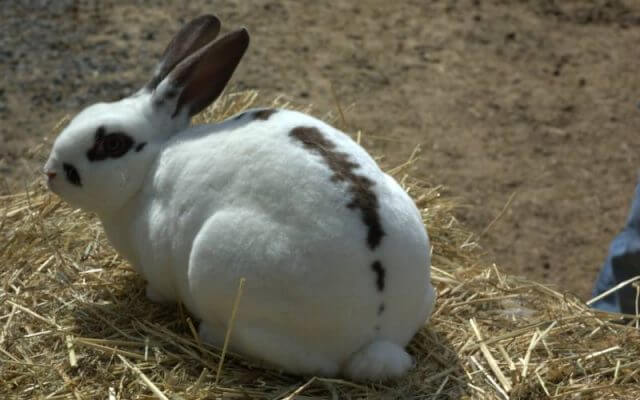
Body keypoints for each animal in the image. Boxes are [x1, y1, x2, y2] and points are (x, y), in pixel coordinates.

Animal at [43, 15, 435, 381]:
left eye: (112, 143)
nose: (50, 172)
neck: (150, 167)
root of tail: (379, 333)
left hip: (221, 268)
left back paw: (211, 334)